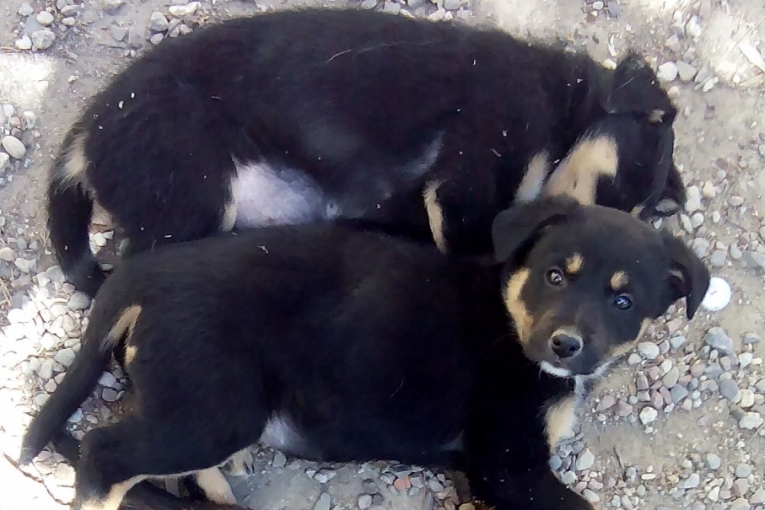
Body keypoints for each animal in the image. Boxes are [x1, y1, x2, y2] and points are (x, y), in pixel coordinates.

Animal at [19, 197, 712, 510]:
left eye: (624, 301)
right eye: (555, 276)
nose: (566, 346)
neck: (511, 323)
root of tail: (141, 276)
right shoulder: (510, 463)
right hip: (215, 406)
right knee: (105, 454)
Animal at [52, 6, 688, 294]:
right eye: (615, 189)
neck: (563, 111)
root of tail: (88, 131)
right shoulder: (470, 177)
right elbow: (479, 251)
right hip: (193, 193)